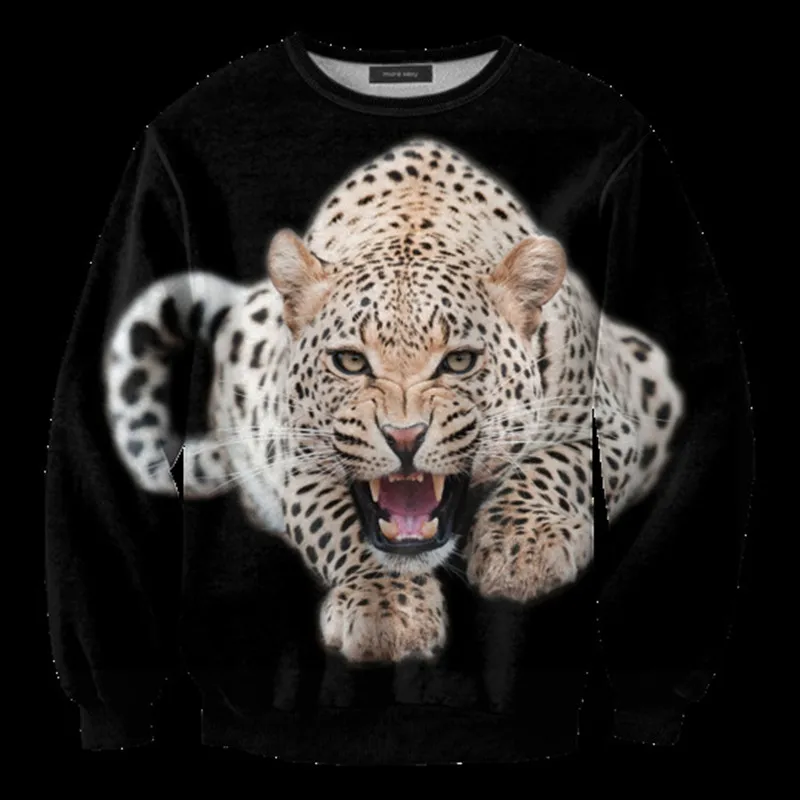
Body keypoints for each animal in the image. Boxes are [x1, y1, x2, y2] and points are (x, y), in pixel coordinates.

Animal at [103, 136, 684, 664]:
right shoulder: (297, 454)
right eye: (350, 362)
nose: (404, 437)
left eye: (459, 361)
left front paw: (523, 548)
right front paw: (385, 608)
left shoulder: (610, 419)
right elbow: (339, 524)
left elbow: (556, 464)